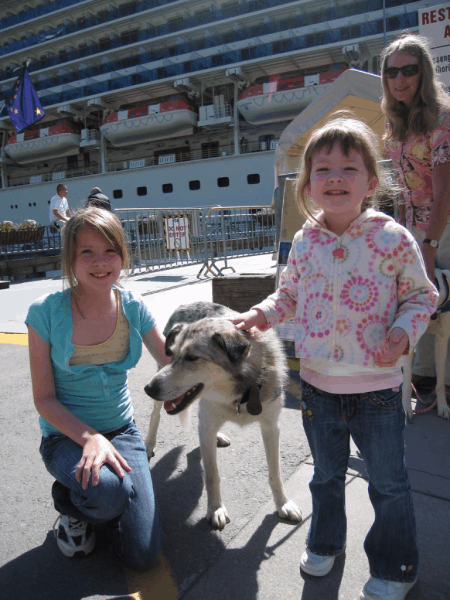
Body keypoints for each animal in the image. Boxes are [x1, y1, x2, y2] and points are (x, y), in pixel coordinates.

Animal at [146, 302, 304, 528]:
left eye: (192, 358)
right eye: (173, 354)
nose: (148, 388)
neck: (242, 392)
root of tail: (187, 303)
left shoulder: (271, 427)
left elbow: (275, 473)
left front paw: (283, 504)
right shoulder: (209, 420)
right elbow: (212, 475)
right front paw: (215, 509)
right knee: (155, 416)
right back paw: (149, 444)